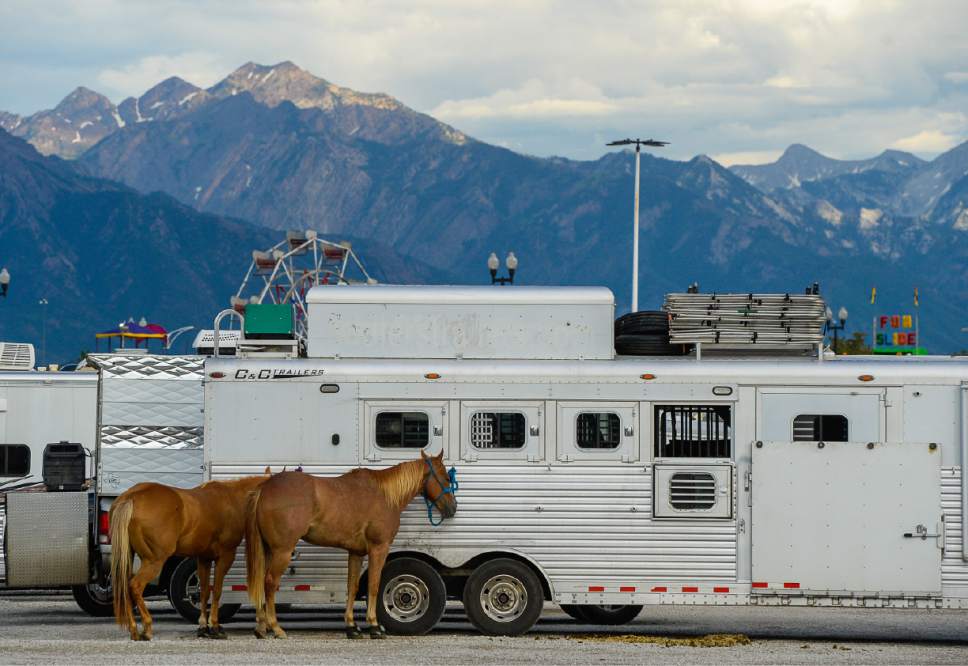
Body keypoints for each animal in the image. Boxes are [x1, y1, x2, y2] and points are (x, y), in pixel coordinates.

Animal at [111, 466, 274, 640]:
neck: (231, 500)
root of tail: (132, 497)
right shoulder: (225, 556)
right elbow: (217, 591)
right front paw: (215, 626)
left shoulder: (204, 558)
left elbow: (204, 591)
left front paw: (203, 627)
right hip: (154, 561)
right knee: (135, 586)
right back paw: (147, 627)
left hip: (128, 559)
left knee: (124, 588)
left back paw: (134, 629)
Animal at [248, 452, 460, 640]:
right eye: (445, 478)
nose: (453, 508)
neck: (384, 494)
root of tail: (265, 488)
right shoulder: (378, 549)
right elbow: (374, 585)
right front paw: (374, 626)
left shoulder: (356, 552)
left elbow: (353, 586)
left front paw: (352, 627)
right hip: (282, 552)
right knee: (270, 583)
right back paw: (276, 628)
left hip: (269, 551)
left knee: (261, 581)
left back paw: (261, 627)